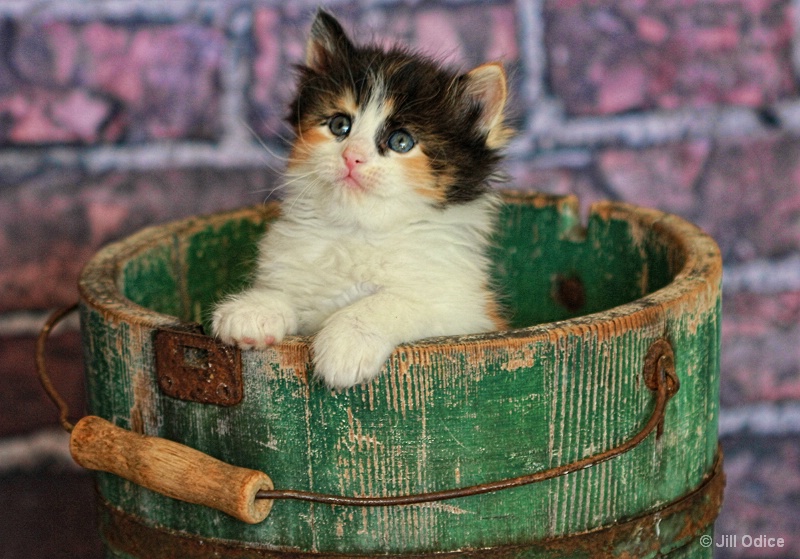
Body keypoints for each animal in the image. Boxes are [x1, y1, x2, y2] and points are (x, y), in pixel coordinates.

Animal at [212, 12, 510, 390]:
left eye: (401, 141)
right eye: (340, 125)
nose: (351, 157)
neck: (359, 231)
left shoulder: (470, 313)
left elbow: (395, 299)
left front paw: (347, 343)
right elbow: (288, 290)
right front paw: (253, 309)